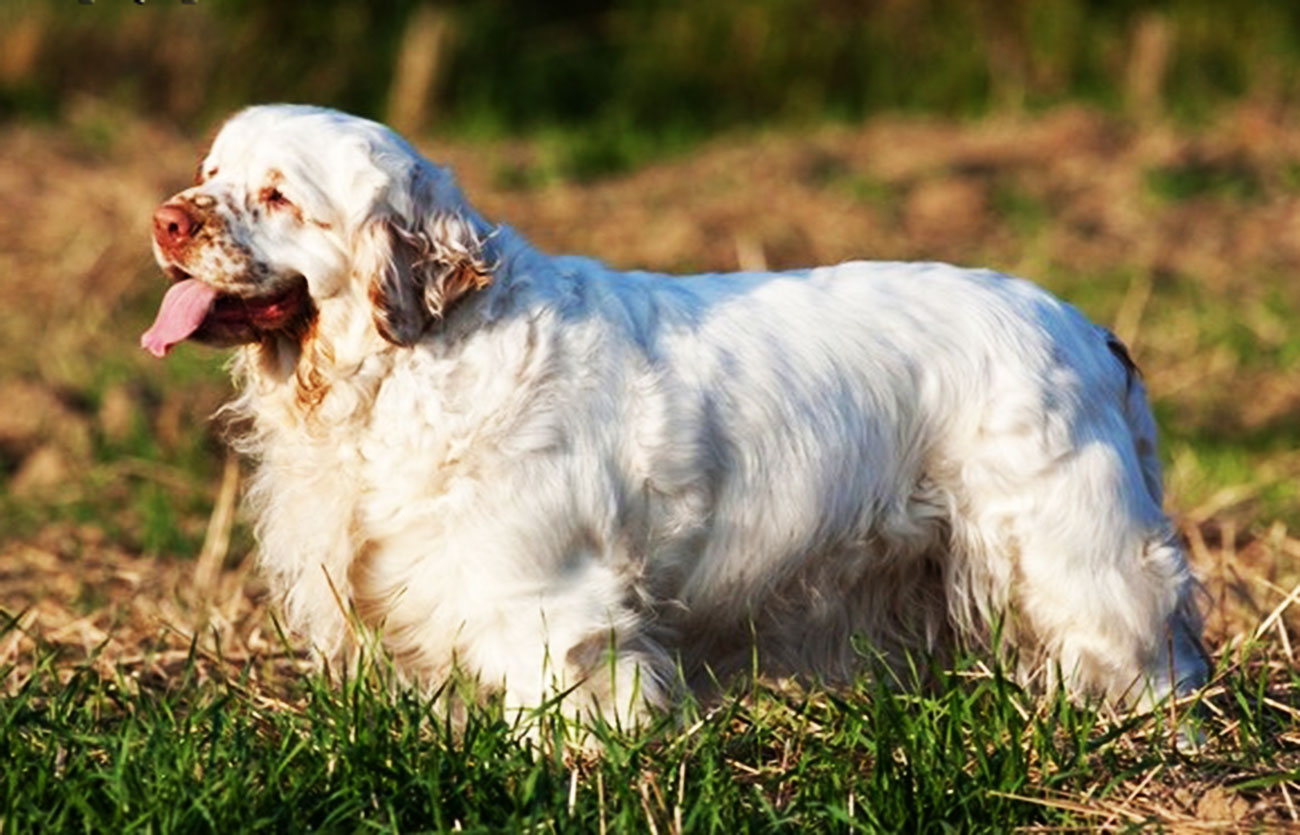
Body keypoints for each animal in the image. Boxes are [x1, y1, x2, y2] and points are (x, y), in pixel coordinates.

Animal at [142, 105, 1206, 723]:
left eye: (279, 195)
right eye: (209, 169)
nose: (165, 218)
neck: (407, 368)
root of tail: (1089, 328)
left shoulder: (550, 605)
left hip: (1074, 558)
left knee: (1146, 660)